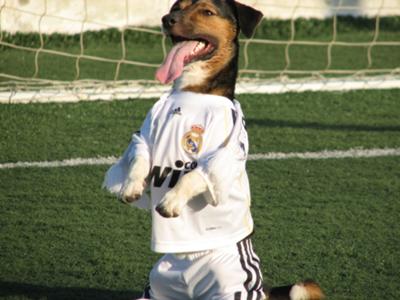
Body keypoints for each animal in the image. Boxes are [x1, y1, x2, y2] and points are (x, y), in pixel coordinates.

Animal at [104, 1, 324, 298]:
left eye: (207, 11)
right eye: (176, 6)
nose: (167, 19)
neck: (195, 92)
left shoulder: (226, 150)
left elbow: (193, 175)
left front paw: (171, 201)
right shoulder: (144, 136)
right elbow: (139, 158)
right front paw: (131, 186)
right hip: (158, 287)